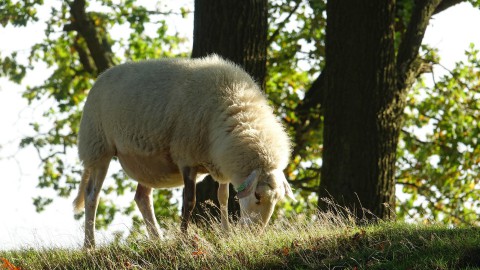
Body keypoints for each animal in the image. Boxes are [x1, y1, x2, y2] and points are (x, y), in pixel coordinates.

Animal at [72, 54, 294, 249]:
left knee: (142, 197)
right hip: (98, 147)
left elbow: (223, 197)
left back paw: (157, 239)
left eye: (276, 200)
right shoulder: (186, 157)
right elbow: (189, 201)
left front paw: (225, 233)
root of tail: (102, 76)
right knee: (92, 196)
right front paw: (184, 237)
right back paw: (89, 245)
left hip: (146, 164)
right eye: (257, 196)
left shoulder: (221, 159)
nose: (254, 234)